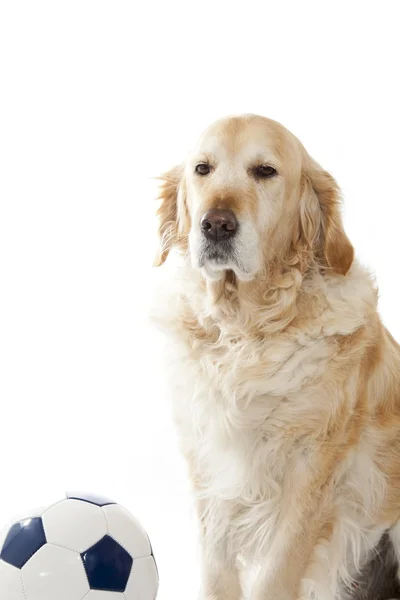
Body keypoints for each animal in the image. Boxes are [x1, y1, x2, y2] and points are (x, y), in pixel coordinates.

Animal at [152, 113, 400, 600]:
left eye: (265, 171)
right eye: (202, 169)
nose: (216, 224)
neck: (247, 331)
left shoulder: (312, 475)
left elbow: (274, 576)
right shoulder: (209, 468)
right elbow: (218, 573)